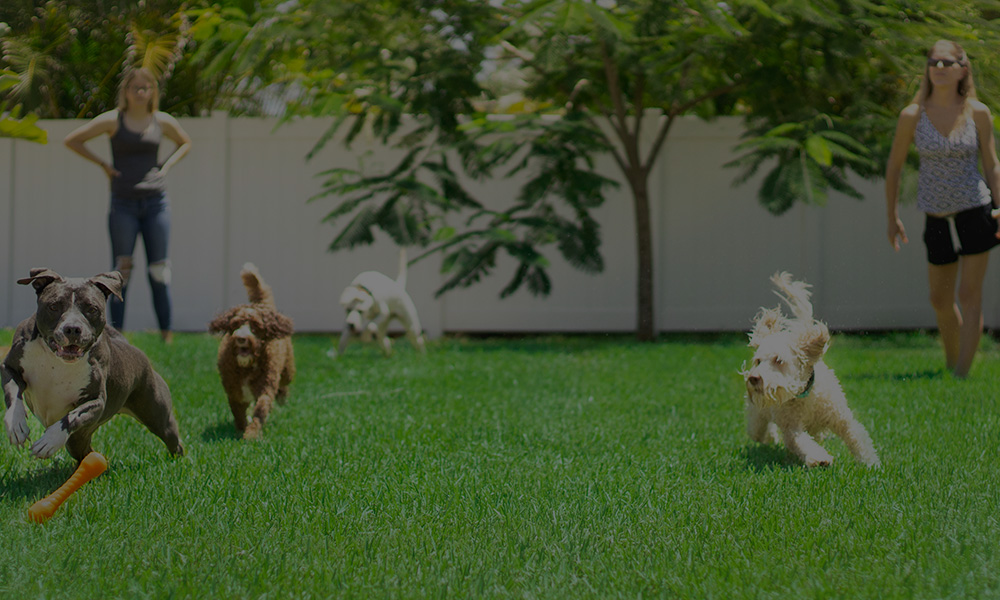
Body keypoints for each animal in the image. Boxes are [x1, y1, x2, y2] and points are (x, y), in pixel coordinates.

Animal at [0, 268, 185, 464]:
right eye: (54, 306)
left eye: (92, 309)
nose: (73, 329)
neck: (57, 360)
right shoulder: (9, 367)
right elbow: (13, 394)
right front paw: (16, 425)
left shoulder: (96, 401)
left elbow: (72, 416)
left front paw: (49, 441)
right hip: (78, 440)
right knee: (86, 452)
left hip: (156, 414)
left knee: (172, 438)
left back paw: (177, 461)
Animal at [207, 264, 292, 438]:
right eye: (235, 324)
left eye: (255, 326)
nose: (241, 338)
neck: (246, 367)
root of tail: (264, 306)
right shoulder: (234, 391)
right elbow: (237, 412)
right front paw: (241, 428)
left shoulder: (265, 386)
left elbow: (260, 409)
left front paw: (252, 433)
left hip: (288, 370)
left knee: (284, 383)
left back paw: (282, 396)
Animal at [740, 272, 880, 468]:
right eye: (758, 361)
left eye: (778, 360)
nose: (753, 378)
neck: (805, 396)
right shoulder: (791, 427)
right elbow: (801, 442)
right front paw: (820, 458)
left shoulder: (841, 418)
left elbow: (856, 437)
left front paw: (870, 462)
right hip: (757, 418)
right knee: (760, 432)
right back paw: (771, 438)